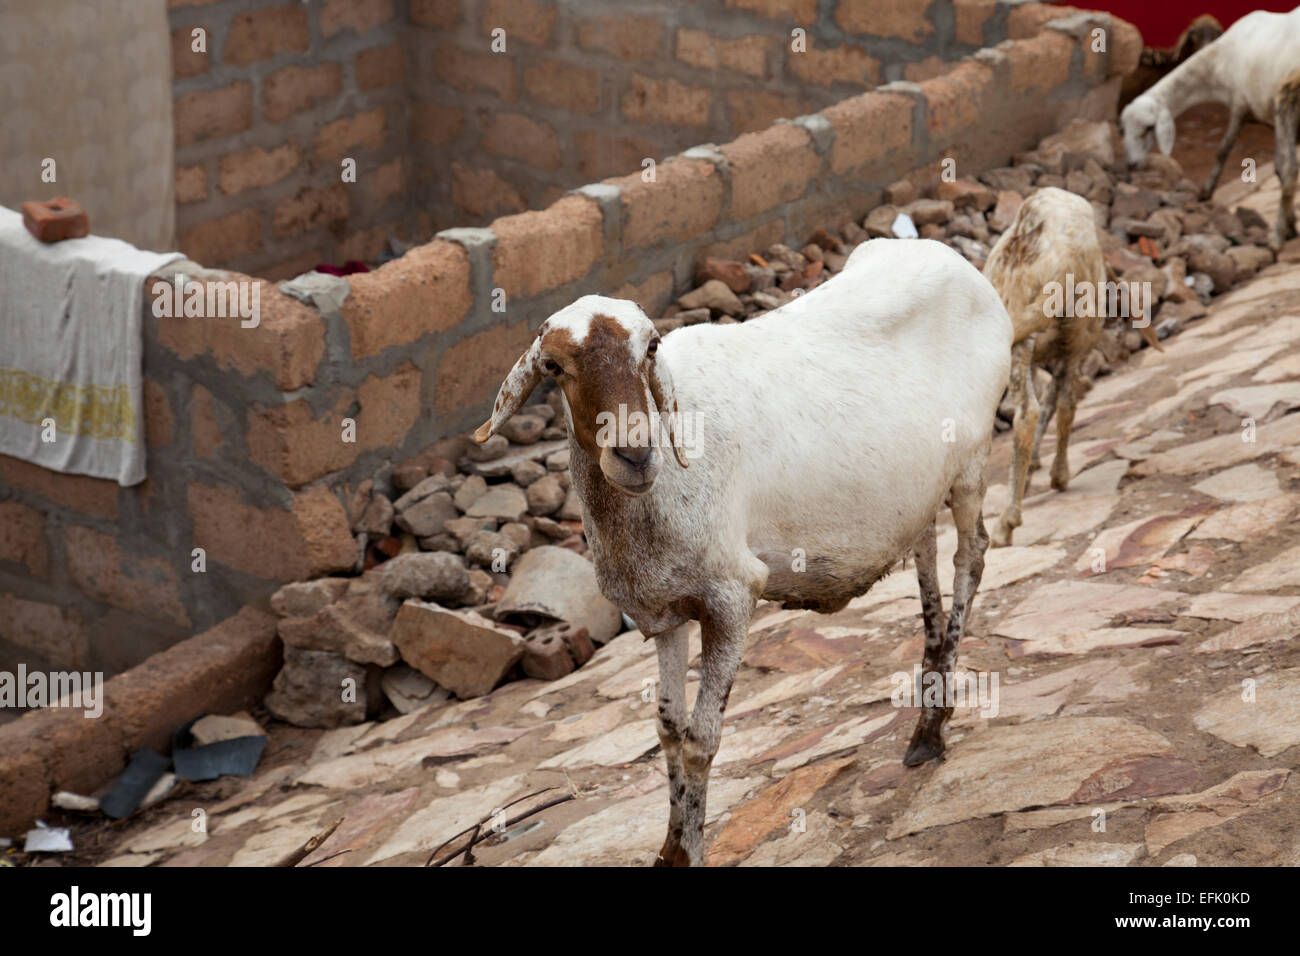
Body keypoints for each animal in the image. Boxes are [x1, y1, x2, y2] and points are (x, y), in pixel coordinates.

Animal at [478, 239, 1013, 868]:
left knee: (971, 557)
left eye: (650, 348)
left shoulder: (732, 596)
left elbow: (701, 739)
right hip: (919, 487)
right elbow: (667, 730)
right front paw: (669, 848)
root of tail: (954, 259)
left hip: (972, 460)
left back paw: (932, 728)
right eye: (555, 368)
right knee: (926, 553)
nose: (635, 454)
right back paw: (929, 710)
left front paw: (689, 852)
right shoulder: (664, 611)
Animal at [982, 188, 1159, 546]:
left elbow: (1047, 403)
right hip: (1073, 333)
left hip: (1025, 337)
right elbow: (1056, 403)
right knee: (1055, 406)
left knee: (1031, 410)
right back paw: (1040, 491)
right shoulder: (1066, 351)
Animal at [1118, 5, 1300, 251]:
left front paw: (1206, 191)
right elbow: (1278, 170)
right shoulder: (1272, 118)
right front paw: (1291, 224)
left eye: (1148, 128)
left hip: (1288, 96)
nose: (1132, 164)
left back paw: (1276, 238)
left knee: (1290, 169)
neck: (1217, 64)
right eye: (1123, 130)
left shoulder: (1240, 103)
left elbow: (1224, 150)